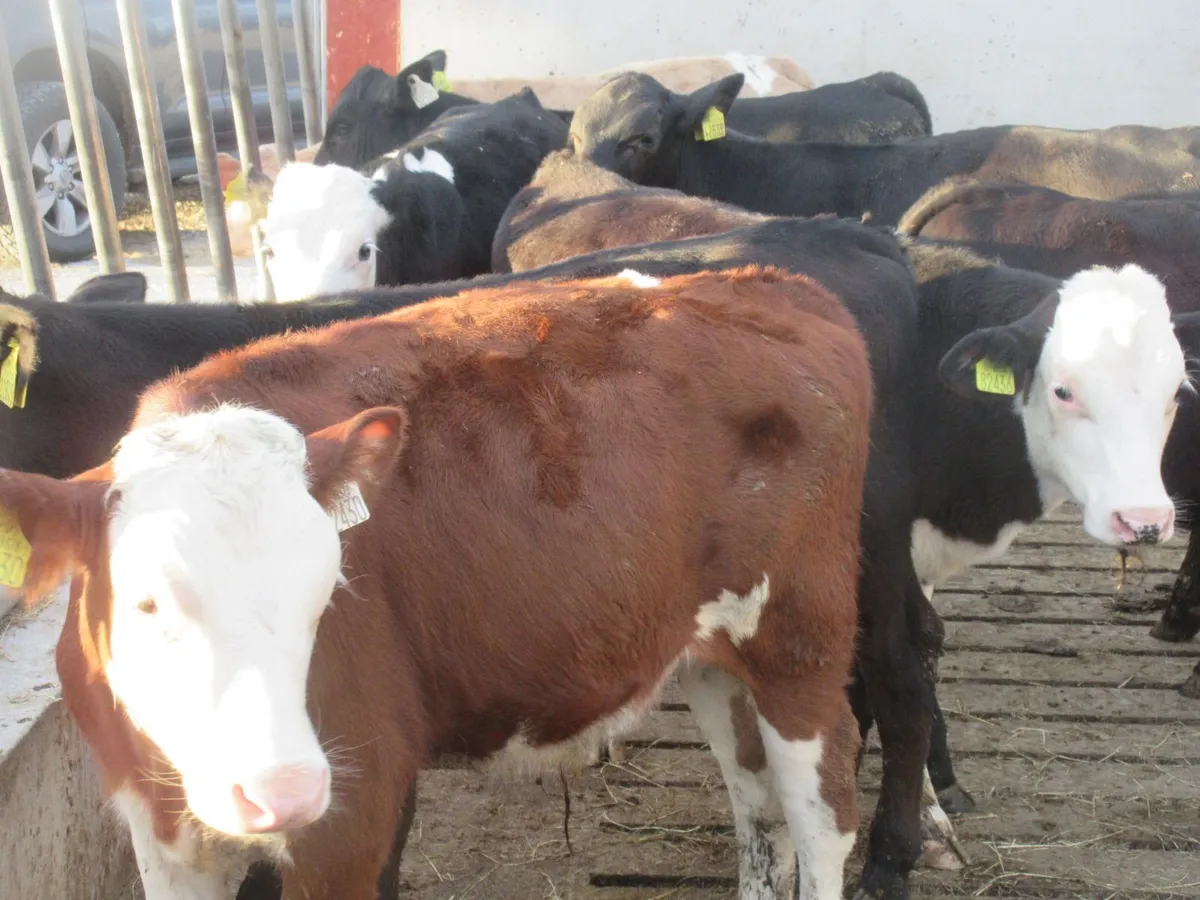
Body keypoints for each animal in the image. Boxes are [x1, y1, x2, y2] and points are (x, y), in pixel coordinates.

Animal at [0, 267, 874, 900]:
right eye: (148, 600)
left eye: (325, 594)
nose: (283, 788)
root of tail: (766, 282)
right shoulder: (160, 834)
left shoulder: (352, 814)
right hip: (707, 646)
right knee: (756, 802)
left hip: (802, 631)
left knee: (823, 806)